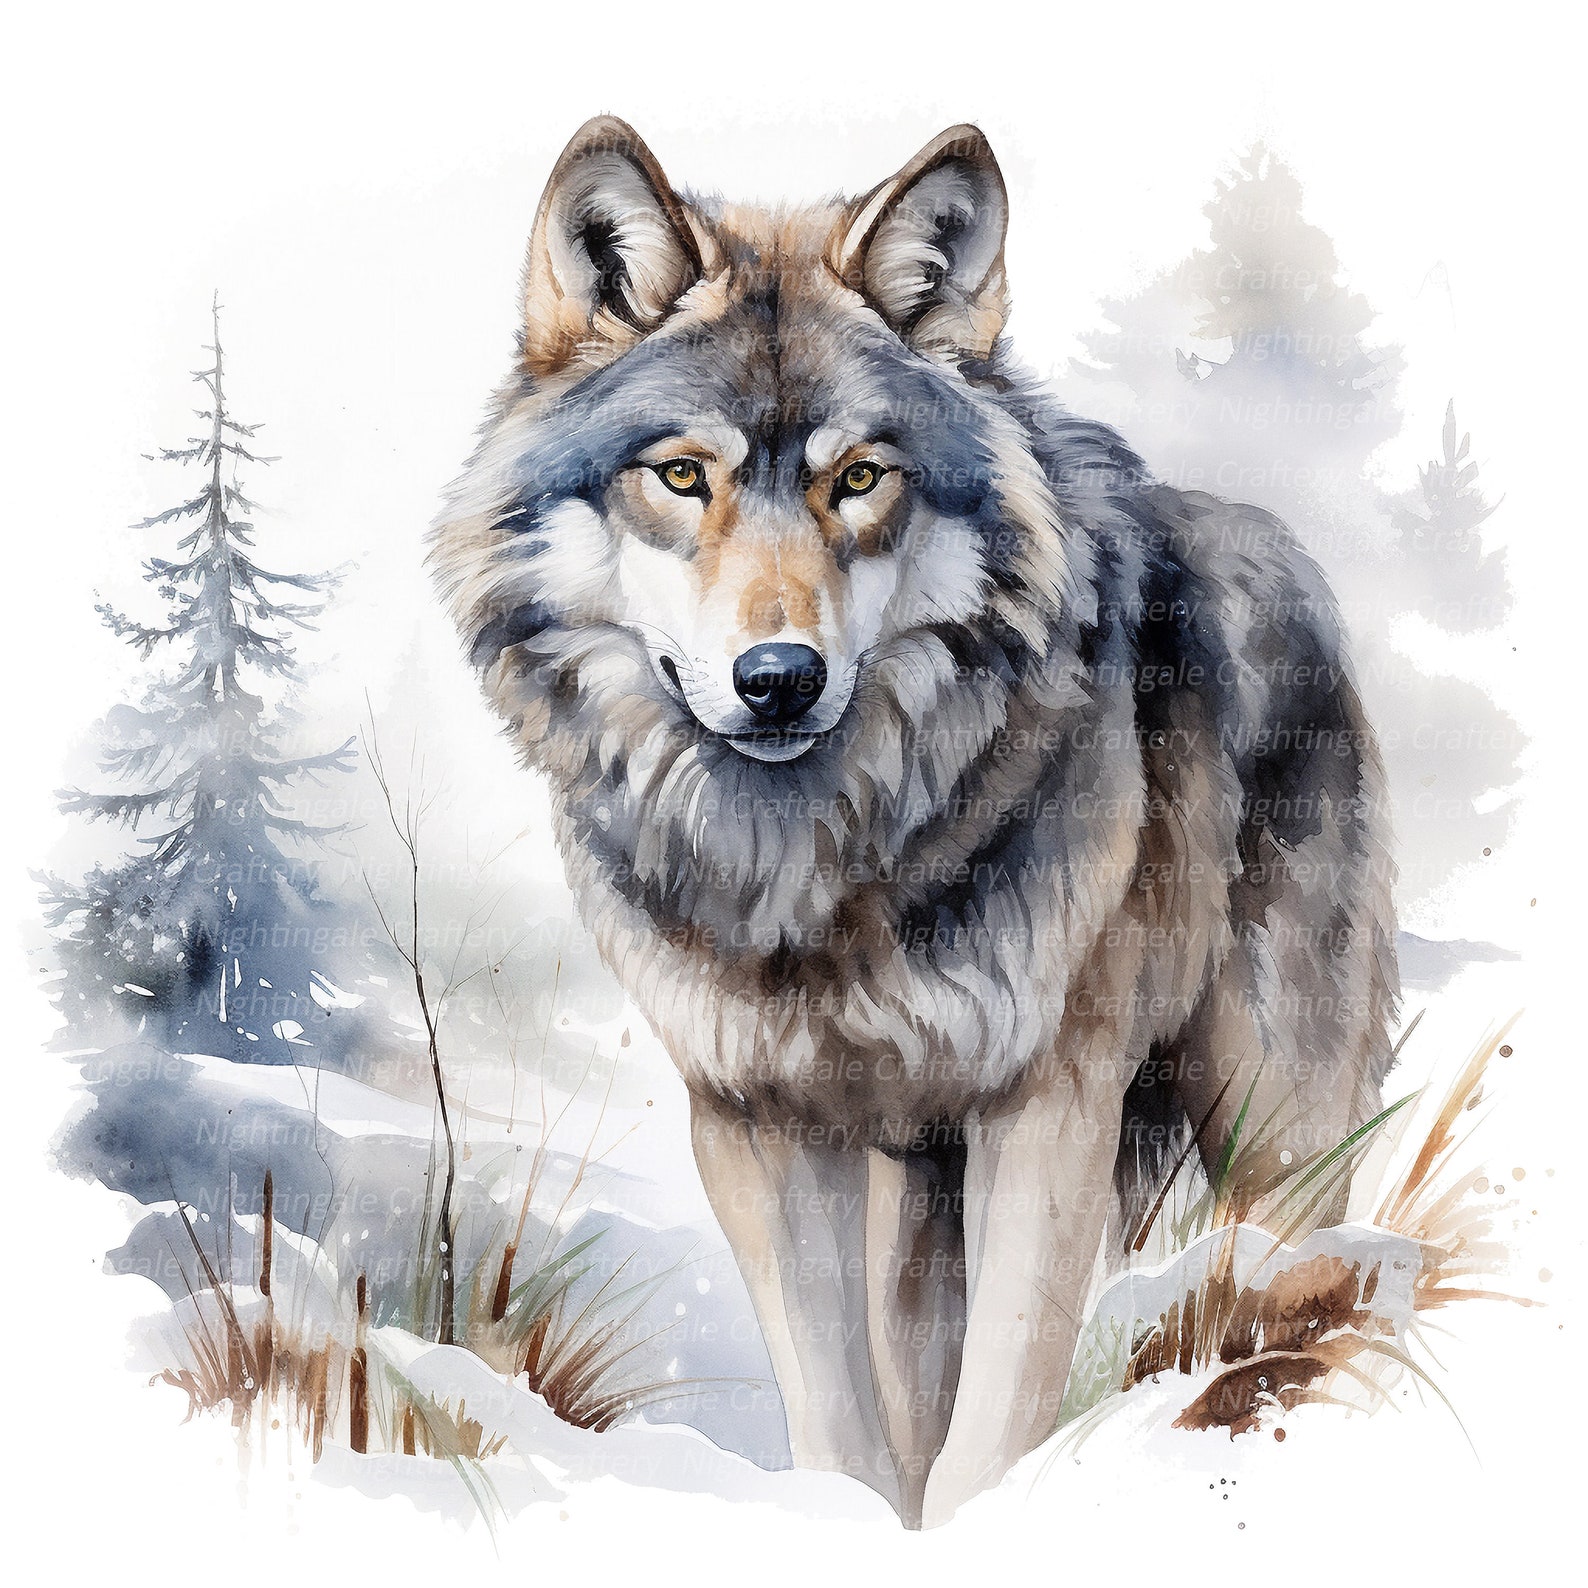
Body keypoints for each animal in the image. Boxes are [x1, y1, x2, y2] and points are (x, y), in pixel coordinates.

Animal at [430, 117, 1398, 1526]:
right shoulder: (759, 1123)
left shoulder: (1048, 1107)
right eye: (682, 476)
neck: (825, 868)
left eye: (858, 478)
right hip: (914, 1197)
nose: (780, 677)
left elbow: (991, 1425)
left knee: (1301, 1269)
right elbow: (845, 1426)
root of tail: (1283, 550)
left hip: (1272, 1124)